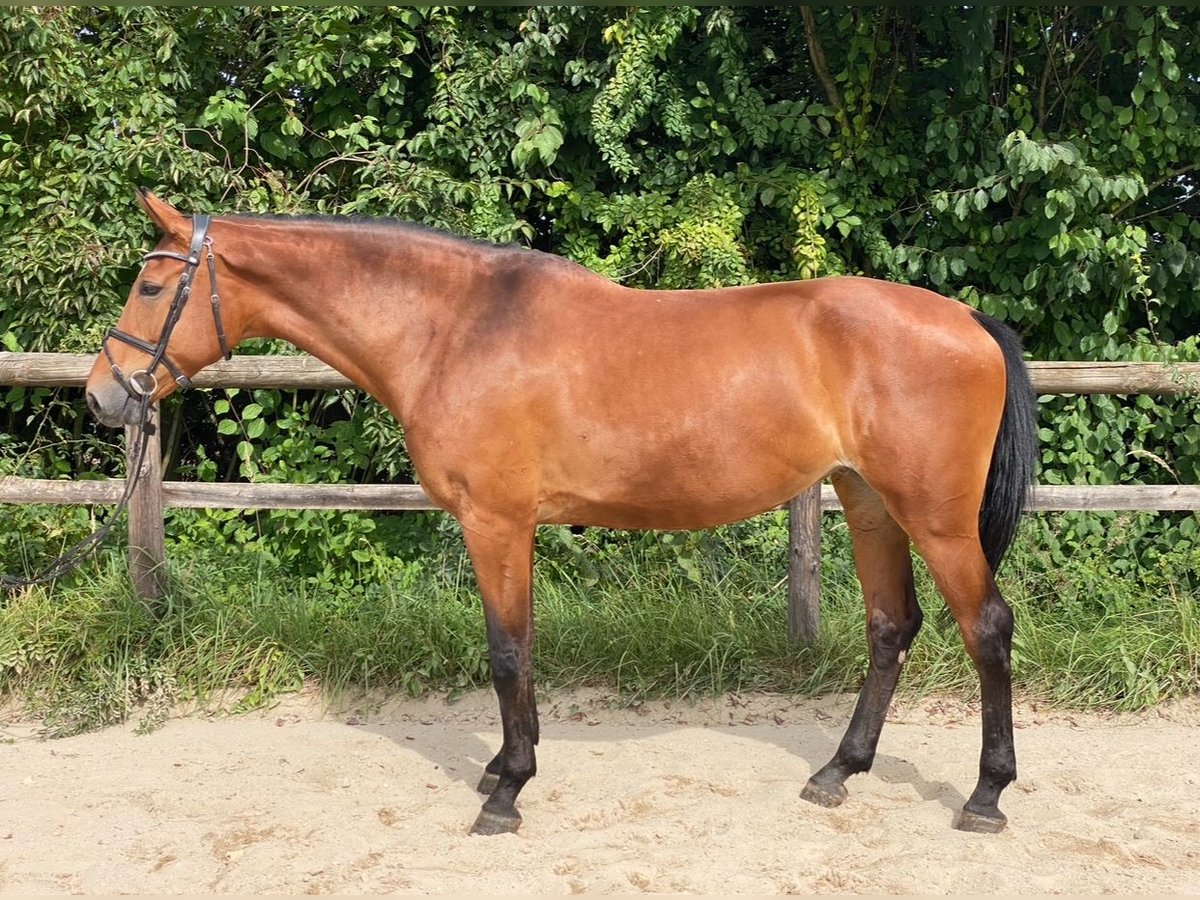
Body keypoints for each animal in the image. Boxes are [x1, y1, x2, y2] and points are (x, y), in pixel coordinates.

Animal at [87, 190, 1041, 840]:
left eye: (148, 286)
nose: (103, 395)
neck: (453, 329)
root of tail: (967, 318)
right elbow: (516, 649)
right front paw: (501, 770)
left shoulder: (497, 523)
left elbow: (508, 650)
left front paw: (508, 789)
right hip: (869, 503)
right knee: (891, 627)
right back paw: (839, 770)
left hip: (936, 519)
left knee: (986, 628)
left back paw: (986, 794)